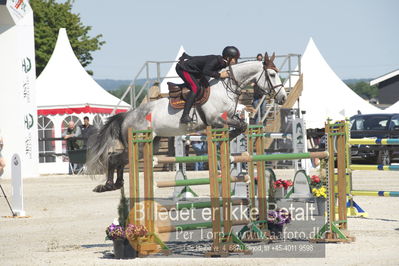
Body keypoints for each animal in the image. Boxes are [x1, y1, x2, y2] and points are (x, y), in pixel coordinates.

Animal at [87, 53, 288, 192]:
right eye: (272, 74)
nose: (283, 98)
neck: (227, 87)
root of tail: (127, 115)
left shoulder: (227, 117)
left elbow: (242, 124)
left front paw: (226, 143)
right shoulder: (216, 119)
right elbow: (239, 126)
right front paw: (224, 142)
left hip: (150, 144)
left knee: (121, 160)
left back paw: (115, 184)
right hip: (139, 143)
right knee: (114, 159)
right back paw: (108, 185)